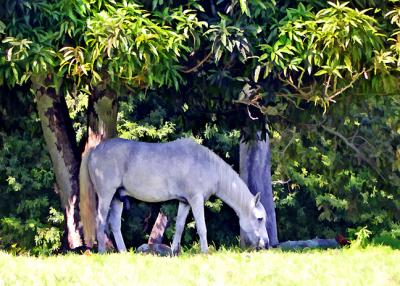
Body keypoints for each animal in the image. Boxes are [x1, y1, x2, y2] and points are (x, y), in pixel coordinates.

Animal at [79, 138, 270, 252]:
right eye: (259, 218)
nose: (267, 244)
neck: (206, 164)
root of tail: (95, 149)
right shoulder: (195, 200)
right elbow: (202, 228)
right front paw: (205, 253)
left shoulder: (185, 202)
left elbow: (179, 226)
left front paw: (175, 252)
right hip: (106, 196)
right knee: (101, 222)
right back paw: (102, 252)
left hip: (118, 198)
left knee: (114, 224)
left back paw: (124, 253)